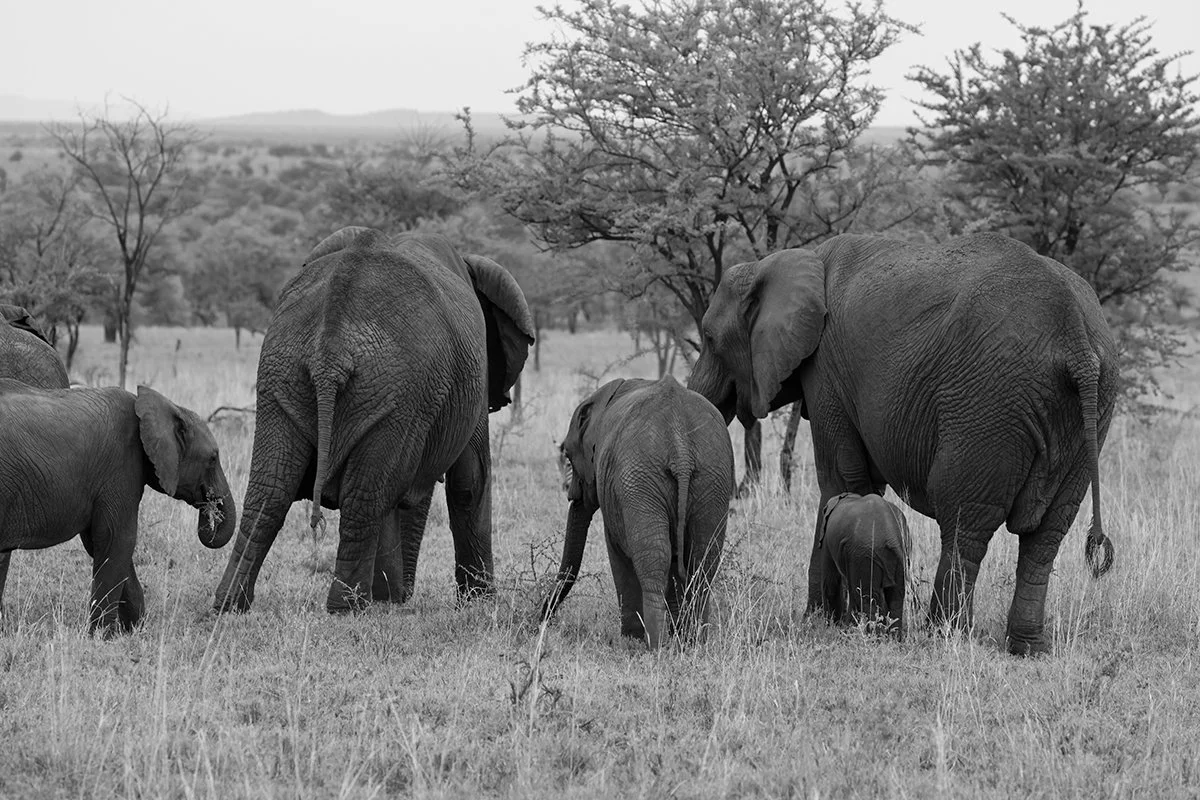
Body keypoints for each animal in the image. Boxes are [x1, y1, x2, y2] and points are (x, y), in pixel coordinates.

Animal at [0, 380, 237, 633]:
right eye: (213, 458)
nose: (211, 511)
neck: (166, 406)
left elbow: (99, 543)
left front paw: (134, 629)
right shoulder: (121, 467)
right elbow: (118, 539)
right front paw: (104, 635)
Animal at [214, 227, 534, 614]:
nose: (405, 594)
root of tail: (331, 344)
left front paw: (391, 597)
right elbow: (469, 480)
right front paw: (478, 603)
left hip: (285, 372)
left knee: (270, 490)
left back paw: (229, 604)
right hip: (396, 389)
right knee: (365, 498)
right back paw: (347, 607)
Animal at [540, 375, 735, 648]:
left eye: (568, 455)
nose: (542, 618)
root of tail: (681, 448)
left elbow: (618, 554)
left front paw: (630, 639)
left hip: (640, 479)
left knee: (654, 560)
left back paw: (656, 646)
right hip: (713, 476)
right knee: (702, 561)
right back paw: (694, 642)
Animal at [818, 492, 911, 638]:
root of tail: (892, 537)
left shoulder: (828, 542)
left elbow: (831, 583)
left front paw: (832, 629)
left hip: (864, 554)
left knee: (867, 597)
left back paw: (872, 638)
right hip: (899, 555)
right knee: (896, 596)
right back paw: (893, 639)